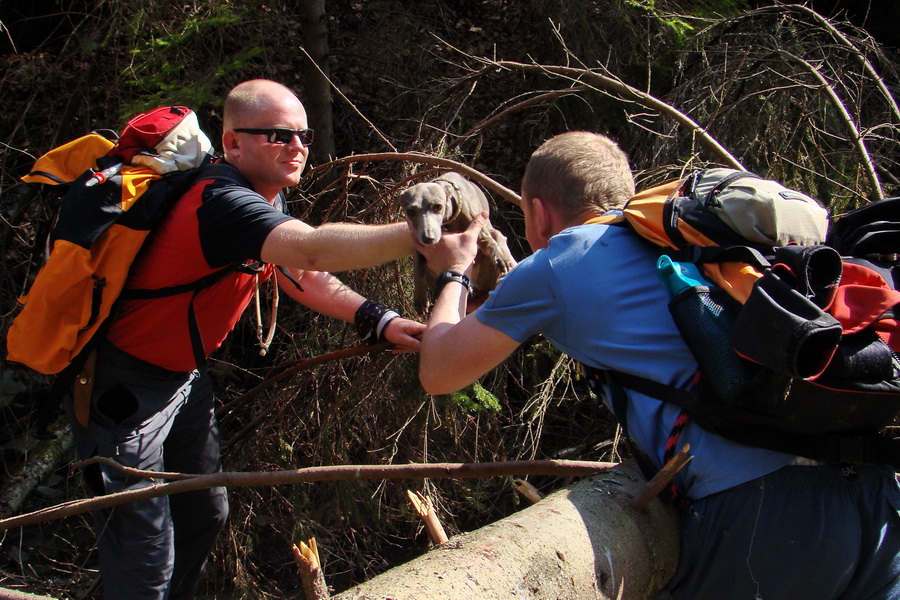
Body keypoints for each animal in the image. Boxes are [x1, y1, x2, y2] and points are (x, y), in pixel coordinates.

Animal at [400, 168, 516, 310]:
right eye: (410, 212)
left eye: (438, 206)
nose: (428, 238)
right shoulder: (418, 241)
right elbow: (418, 267)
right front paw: (420, 297)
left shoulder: (479, 229)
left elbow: (489, 242)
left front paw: (500, 258)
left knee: (498, 237)